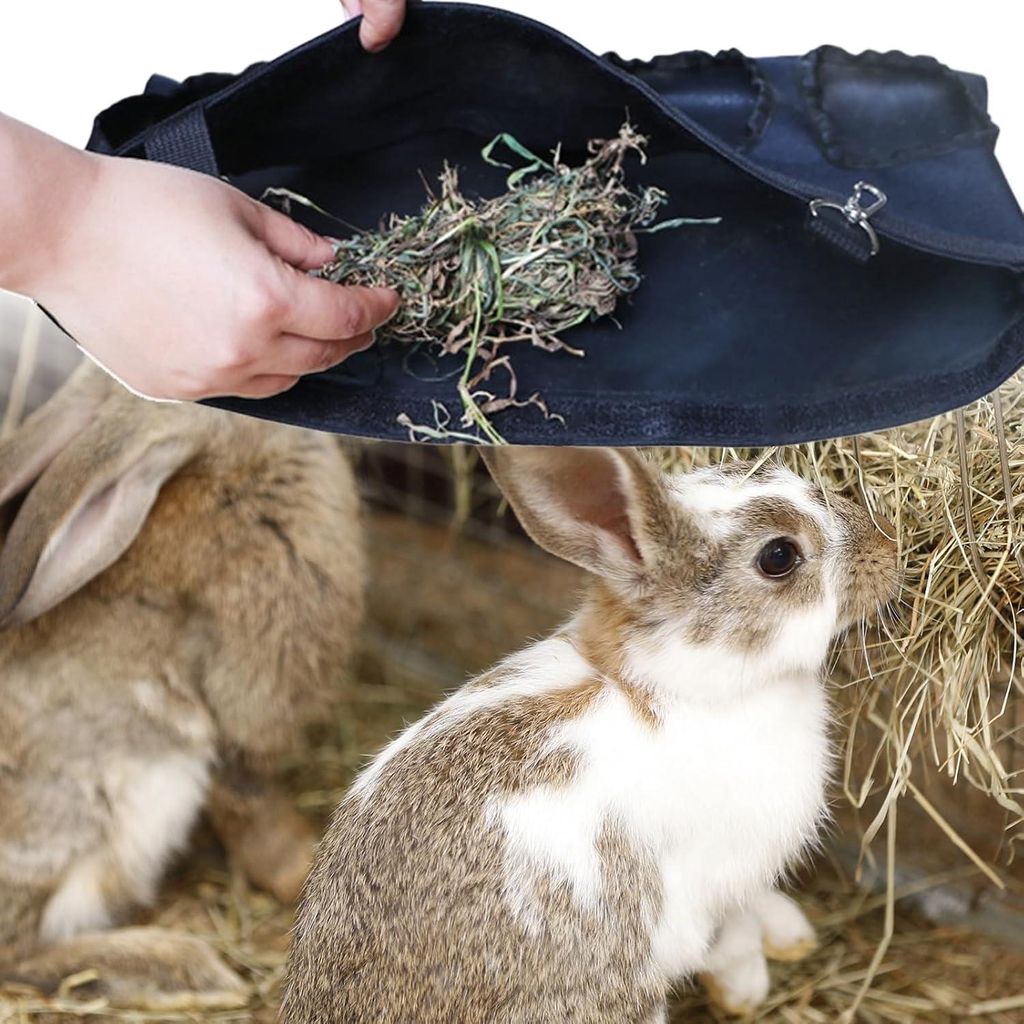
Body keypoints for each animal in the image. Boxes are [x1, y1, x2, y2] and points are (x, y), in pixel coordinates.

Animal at [0, 362, 365, 1009]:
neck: (224, 473)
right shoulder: (246, 705)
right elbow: (250, 797)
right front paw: (300, 867)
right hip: (71, 821)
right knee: (16, 954)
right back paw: (182, 967)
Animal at [283, 446, 898, 1024]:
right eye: (779, 556)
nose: (888, 549)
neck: (682, 688)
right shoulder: (711, 882)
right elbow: (729, 935)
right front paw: (745, 989)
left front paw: (789, 935)